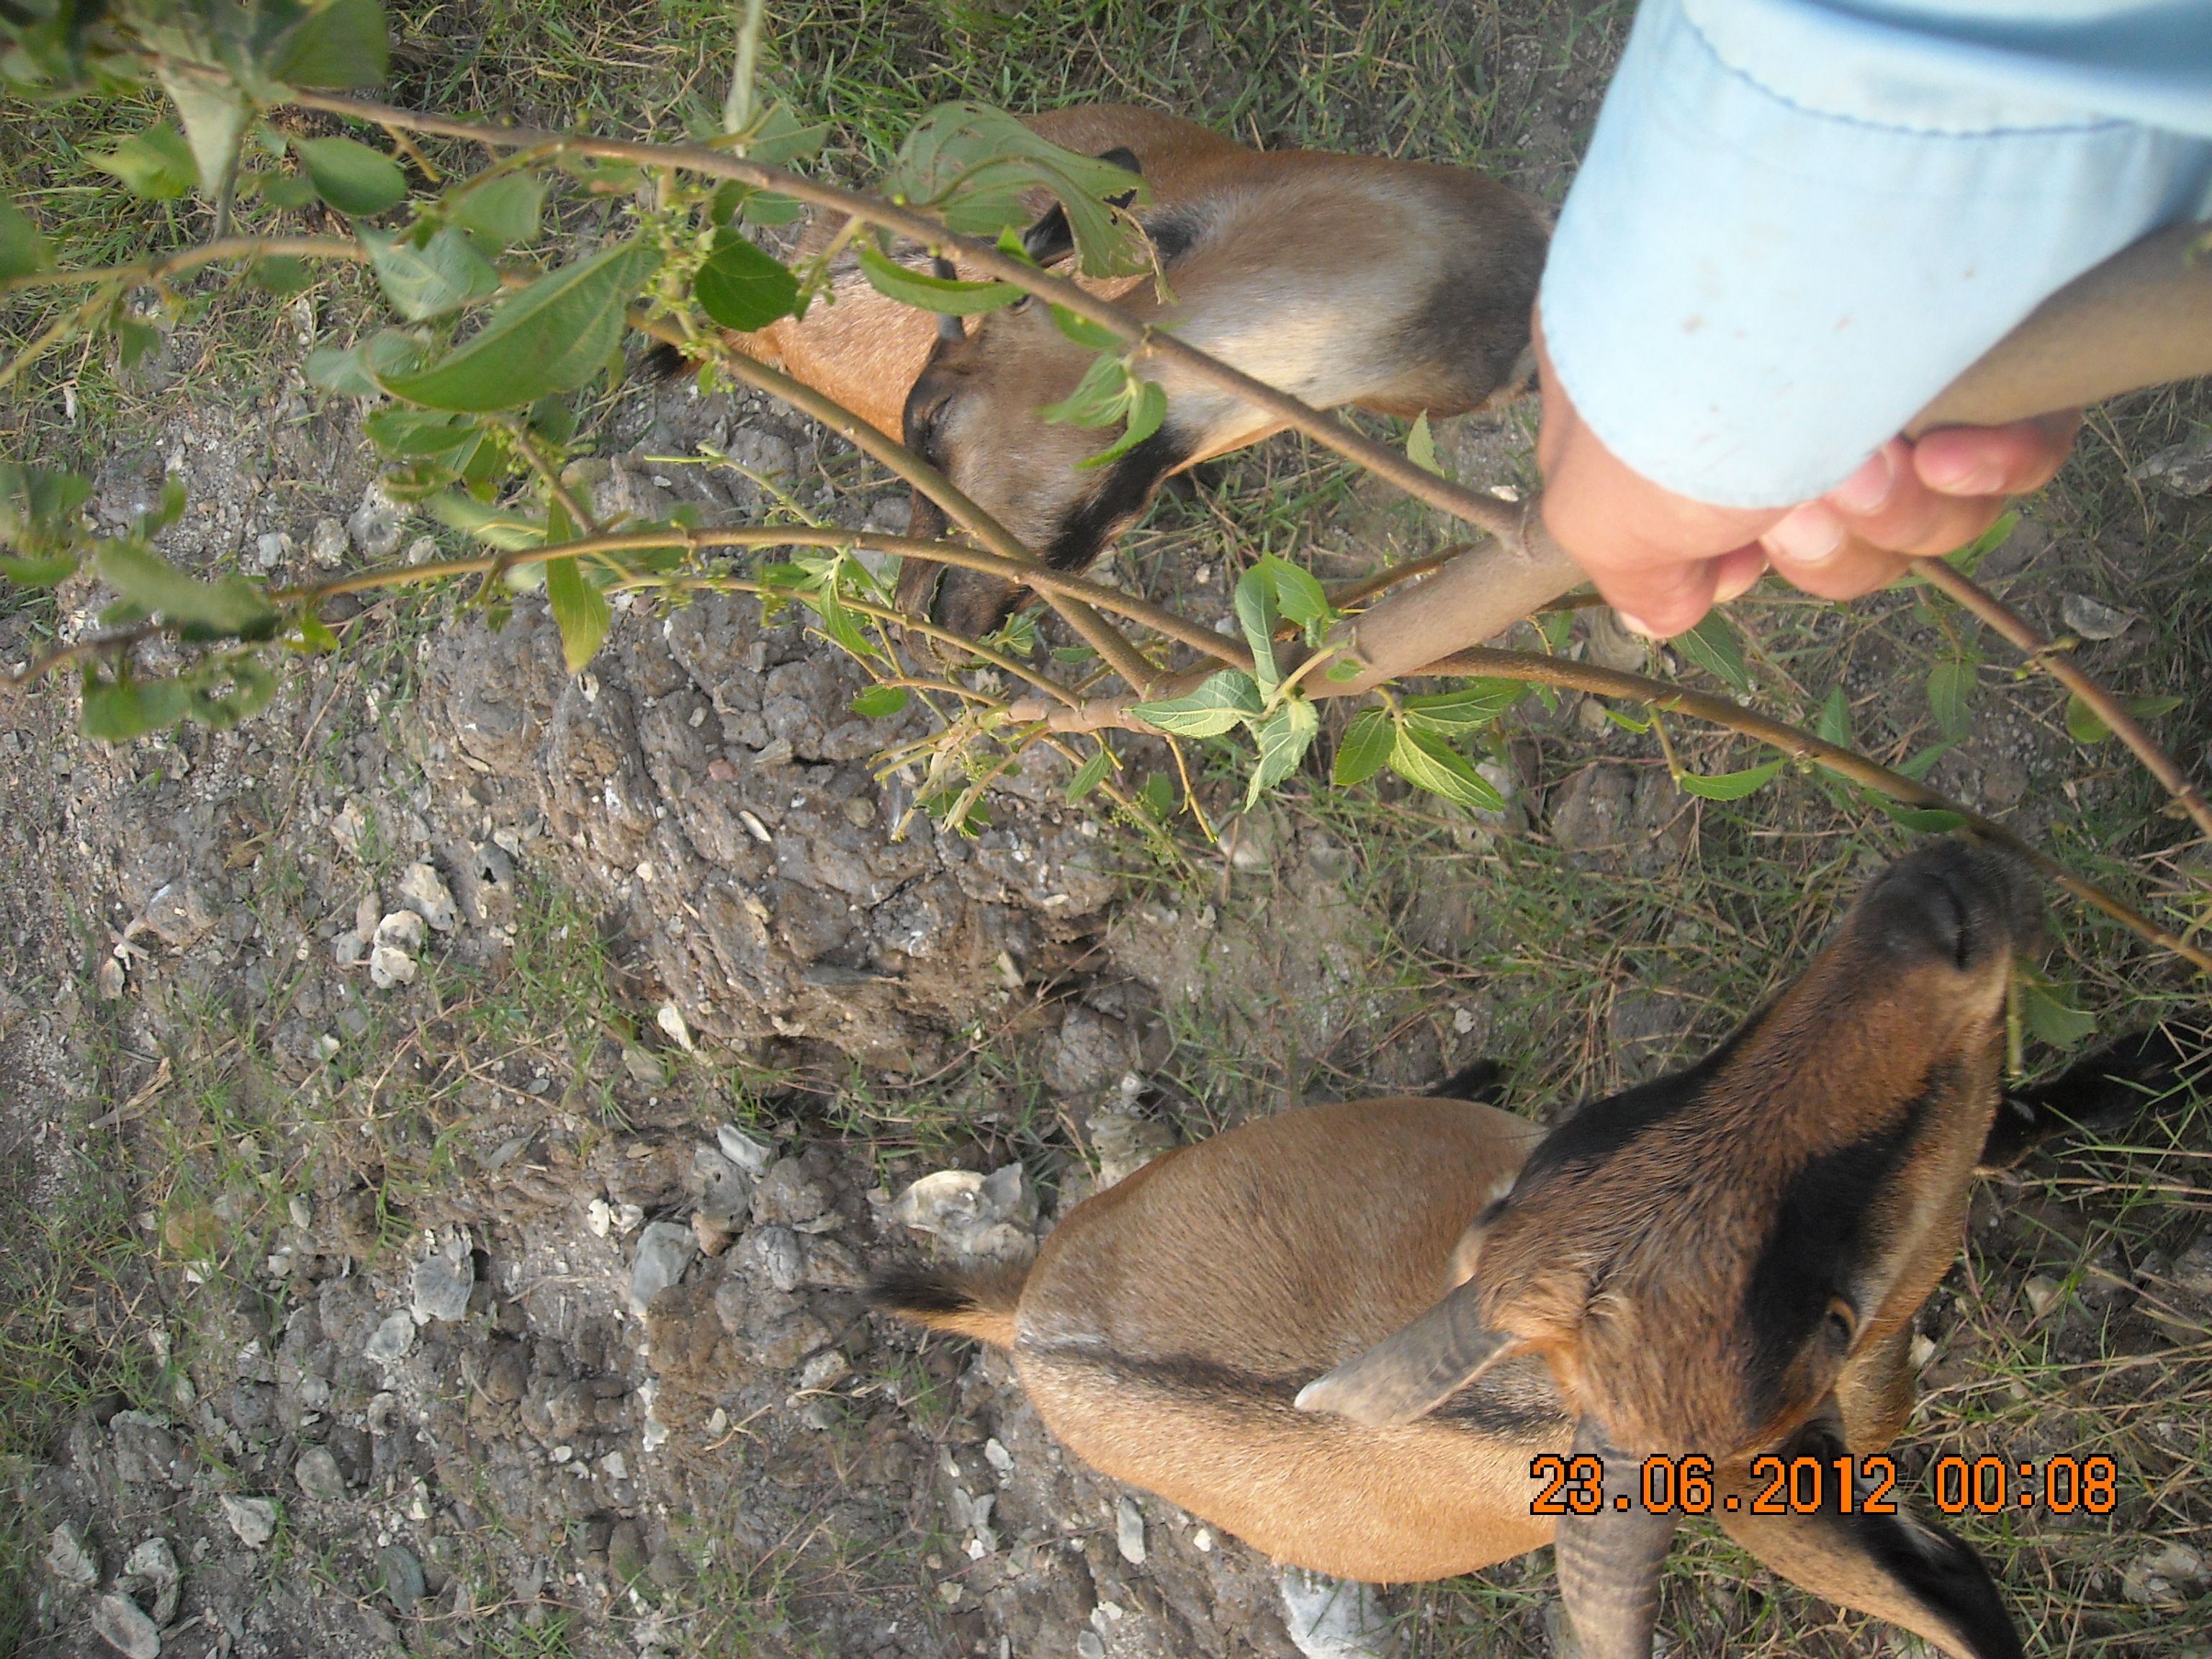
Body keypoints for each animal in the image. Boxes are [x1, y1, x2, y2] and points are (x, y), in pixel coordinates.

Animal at [871, 845, 2185, 1659]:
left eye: (1622, 1117)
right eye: (1825, 1318)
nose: (1931, 917)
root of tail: (1027, 1322)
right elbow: (2000, 1136)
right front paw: (2158, 1065)